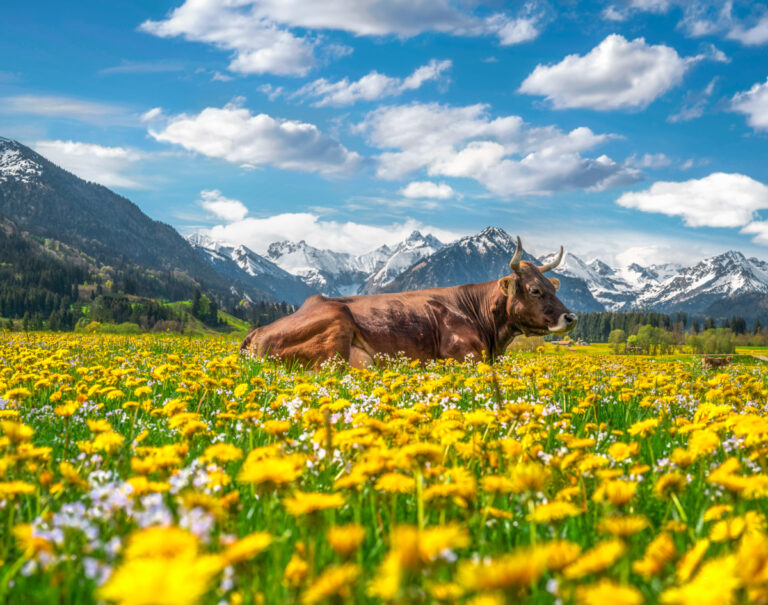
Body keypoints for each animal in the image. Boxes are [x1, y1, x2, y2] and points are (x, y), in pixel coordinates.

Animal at [240, 237, 577, 368]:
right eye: (534, 290)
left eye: (552, 287)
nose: (570, 318)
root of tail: (257, 333)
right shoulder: (463, 355)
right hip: (337, 325)